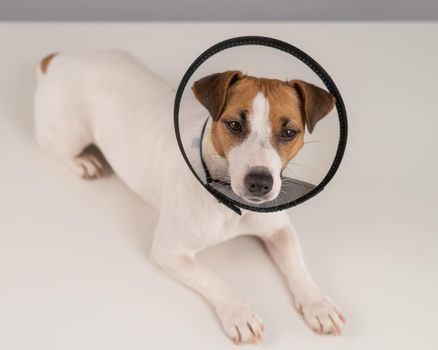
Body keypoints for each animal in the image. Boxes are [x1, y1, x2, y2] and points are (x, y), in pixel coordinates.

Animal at [34, 50, 346, 344]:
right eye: (234, 125)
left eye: (290, 132)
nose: (259, 183)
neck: (232, 205)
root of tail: (63, 58)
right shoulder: (169, 252)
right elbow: (212, 278)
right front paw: (239, 313)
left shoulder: (280, 230)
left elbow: (298, 266)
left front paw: (318, 304)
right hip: (70, 134)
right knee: (50, 144)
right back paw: (82, 162)